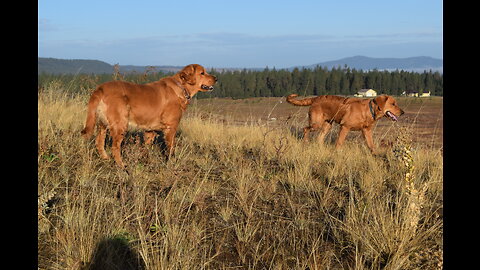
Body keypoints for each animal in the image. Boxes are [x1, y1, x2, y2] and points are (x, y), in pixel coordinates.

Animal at [81, 64, 217, 168]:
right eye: (202, 73)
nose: (216, 78)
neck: (181, 87)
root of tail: (101, 88)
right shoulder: (171, 127)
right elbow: (170, 149)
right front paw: (171, 164)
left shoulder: (150, 130)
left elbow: (146, 147)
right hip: (120, 124)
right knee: (115, 147)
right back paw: (121, 166)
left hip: (102, 124)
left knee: (99, 142)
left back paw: (105, 158)